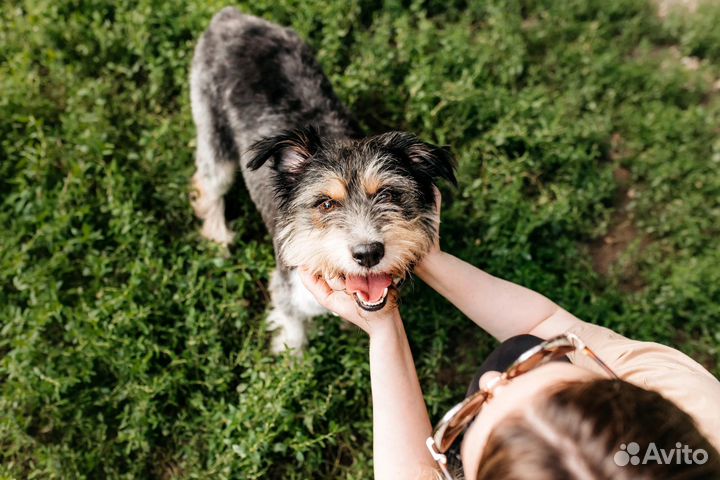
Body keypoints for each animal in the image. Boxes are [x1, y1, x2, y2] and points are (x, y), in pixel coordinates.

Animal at [190, 8, 456, 352]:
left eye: (388, 195)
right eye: (326, 204)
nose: (368, 253)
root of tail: (231, 16)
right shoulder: (288, 287)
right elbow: (292, 325)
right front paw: (291, 355)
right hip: (214, 136)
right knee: (207, 183)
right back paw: (218, 236)